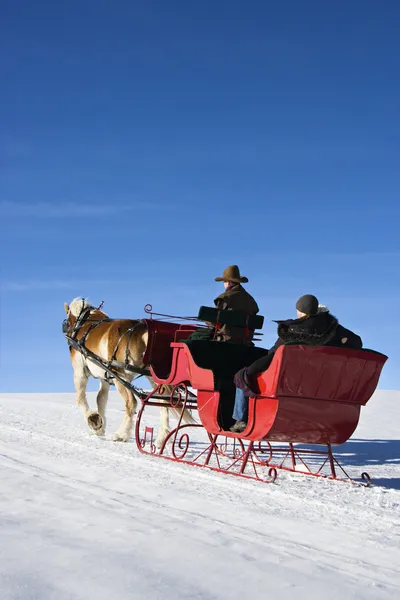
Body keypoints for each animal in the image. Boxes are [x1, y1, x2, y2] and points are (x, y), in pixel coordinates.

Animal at [62, 298, 195, 448]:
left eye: (67, 322)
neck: (85, 323)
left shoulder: (80, 371)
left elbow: (80, 398)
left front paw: (94, 420)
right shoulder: (105, 377)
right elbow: (100, 399)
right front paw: (100, 429)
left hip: (121, 376)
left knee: (132, 403)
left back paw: (122, 434)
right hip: (150, 377)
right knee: (163, 403)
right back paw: (161, 439)